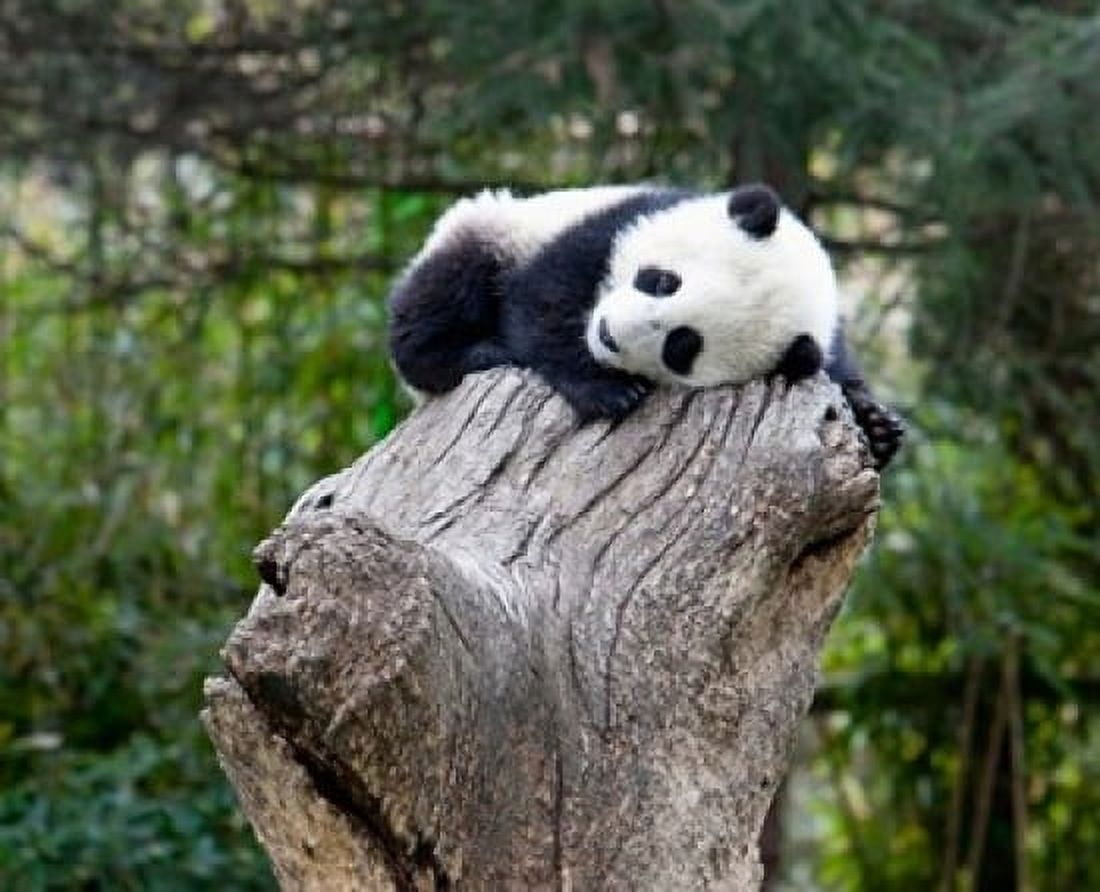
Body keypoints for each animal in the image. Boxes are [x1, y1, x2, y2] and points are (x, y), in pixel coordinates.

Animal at [388, 183, 903, 468]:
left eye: (682, 347)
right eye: (662, 280)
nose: (607, 335)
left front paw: (877, 427)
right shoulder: (614, 222)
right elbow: (543, 297)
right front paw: (605, 389)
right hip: (499, 222)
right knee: (447, 286)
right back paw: (472, 353)